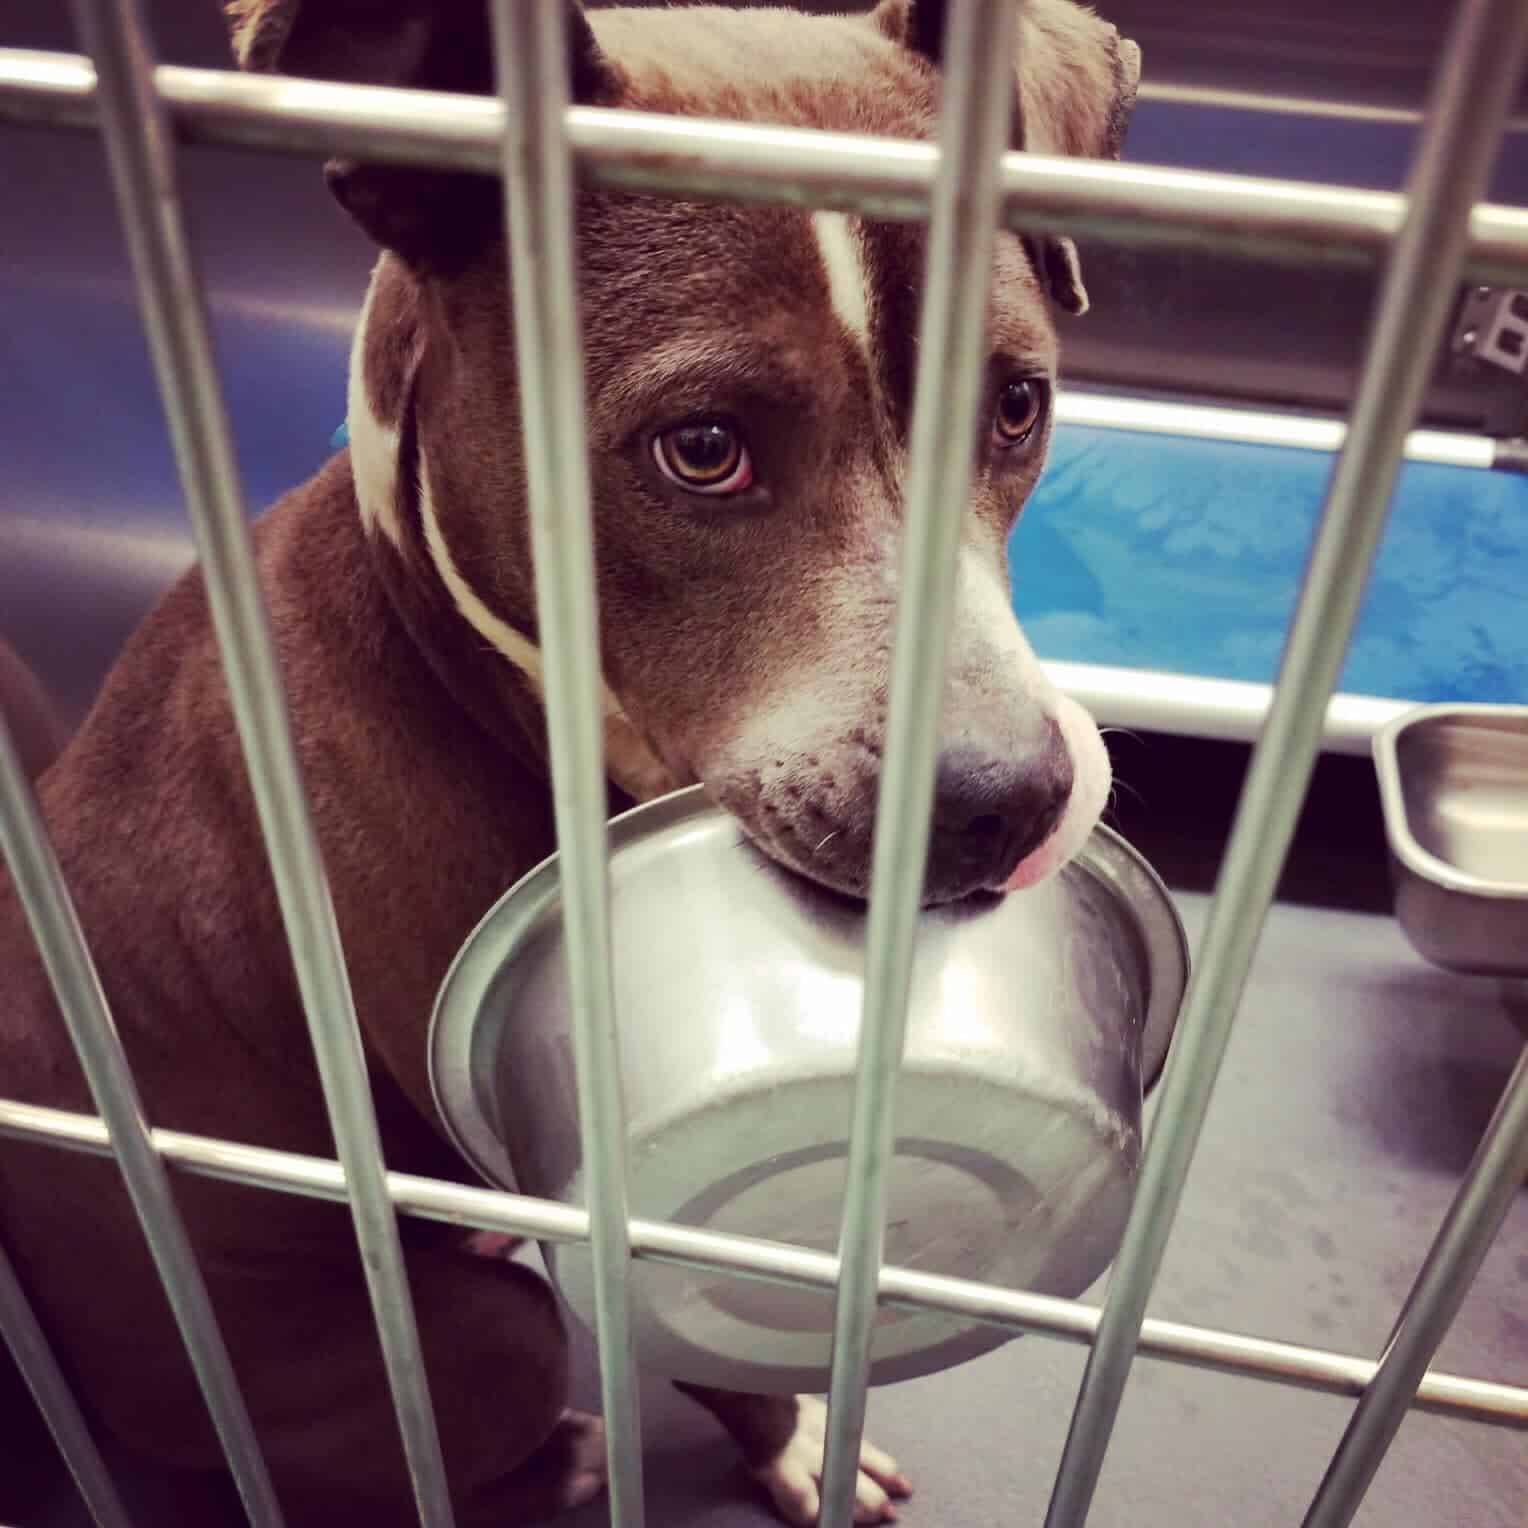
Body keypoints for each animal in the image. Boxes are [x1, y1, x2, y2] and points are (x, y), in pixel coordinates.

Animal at [0, 5, 1136, 1521]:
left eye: (1016, 407)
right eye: (701, 449)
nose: (1010, 798)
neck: (461, 661)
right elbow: (716, 1350)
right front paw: (798, 1447)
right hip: (470, 1335)